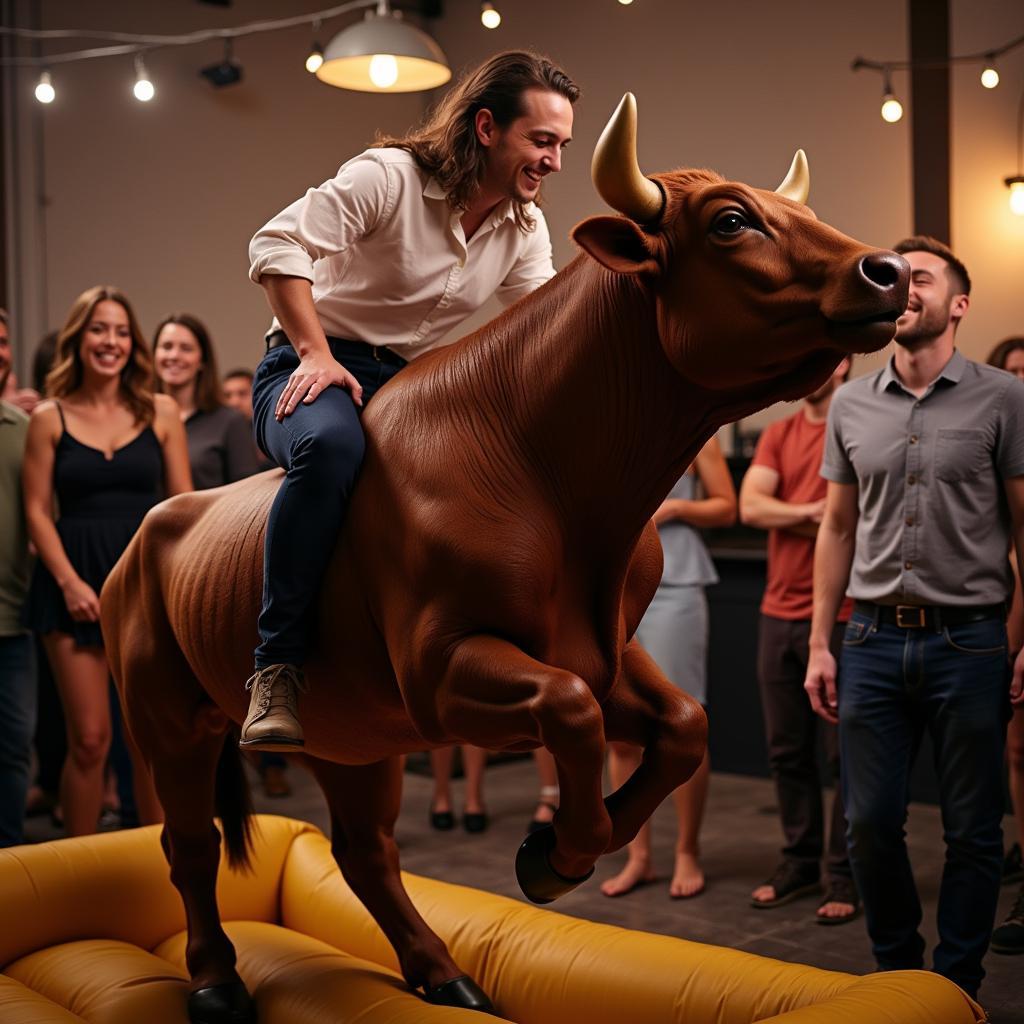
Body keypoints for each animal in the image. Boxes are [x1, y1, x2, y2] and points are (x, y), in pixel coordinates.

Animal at [99, 92, 909, 1019]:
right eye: (731, 220)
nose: (890, 270)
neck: (553, 483)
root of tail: (147, 535)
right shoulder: (442, 670)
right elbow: (570, 711)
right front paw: (561, 852)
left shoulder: (602, 651)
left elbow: (684, 725)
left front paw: (555, 851)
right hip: (167, 720)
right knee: (188, 844)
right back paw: (216, 979)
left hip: (353, 737)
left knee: (365, 849)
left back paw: (441, 971)